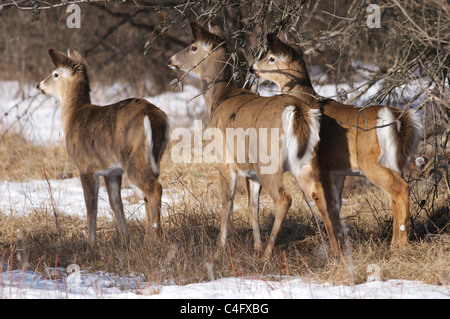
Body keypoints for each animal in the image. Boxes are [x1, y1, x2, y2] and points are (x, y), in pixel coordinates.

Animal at [37, 49, 170, 248]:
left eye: (55, 74)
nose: (39, 85)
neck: (73, 115)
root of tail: (153, 115)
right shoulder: (112, 171)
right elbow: (116, 203)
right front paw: (125, 240)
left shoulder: (85, 166)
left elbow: (91, 206)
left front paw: (91, 244)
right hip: (154, 157)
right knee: (148, 191)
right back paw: (149, 236)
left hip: (132, 157)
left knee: (154, 188)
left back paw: (155, 239)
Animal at [168, 23, 320, 262]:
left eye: (193, 46)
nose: (171, 59)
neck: (220, 98)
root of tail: (295, 110)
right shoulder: (251, 172)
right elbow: (252, 205)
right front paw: (256, 245)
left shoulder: (224, 160)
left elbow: (227, 203)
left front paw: (219, 249)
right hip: (305, 160)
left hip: (268, 162)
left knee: (284, 199)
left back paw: (267, 255)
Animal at [250, 35, 422, 252]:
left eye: (271, 58)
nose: (251, 67)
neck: (308, 100)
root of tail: (397, 118)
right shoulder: (338, 170)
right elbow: (335, 205)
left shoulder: (321, 165)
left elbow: (325, 204)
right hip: (396, 162)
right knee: (395, 194)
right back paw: (396, 241)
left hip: (372, 162)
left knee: (401, 189)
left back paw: (399, 245)